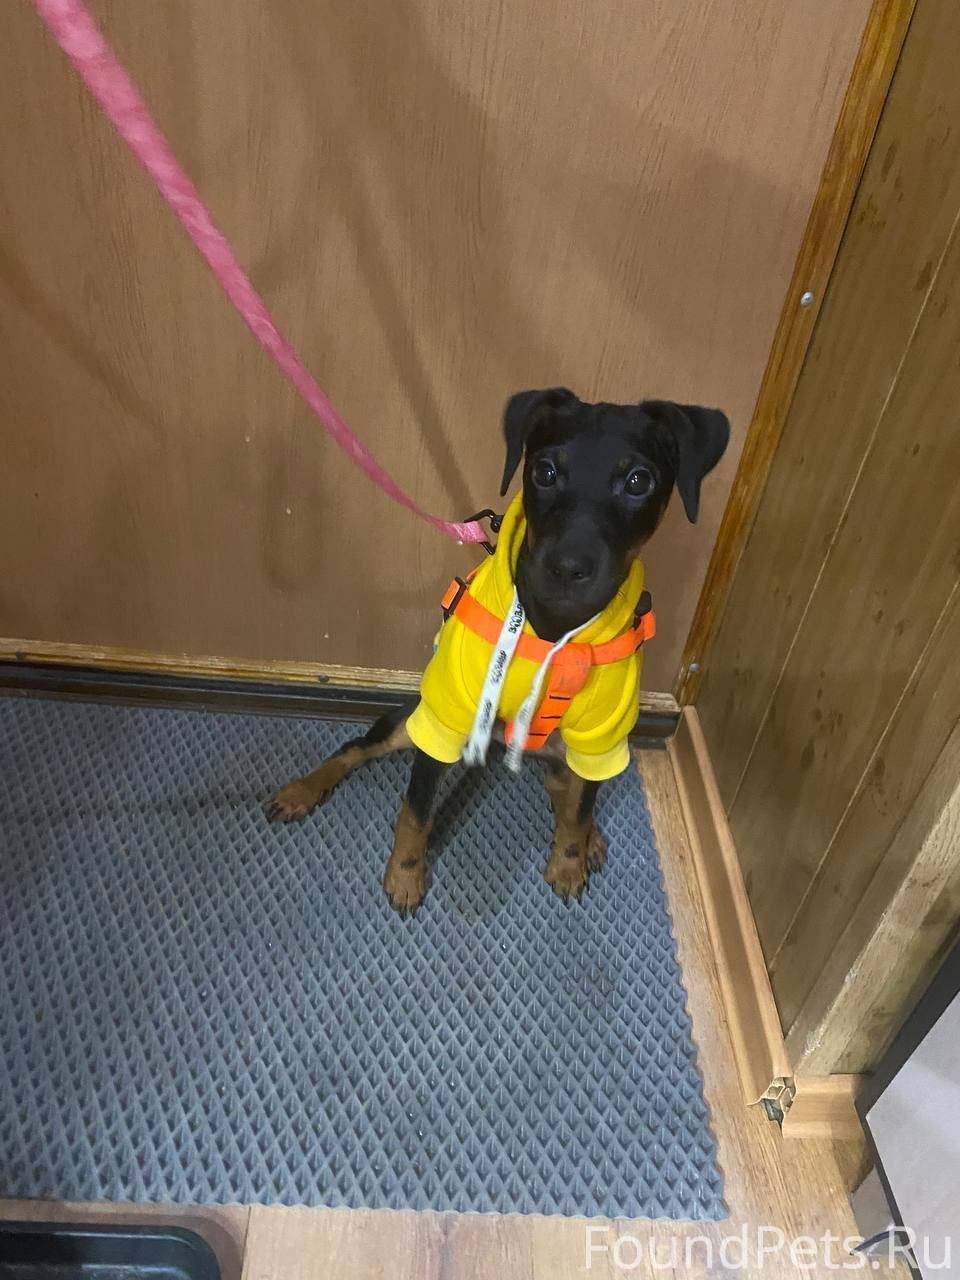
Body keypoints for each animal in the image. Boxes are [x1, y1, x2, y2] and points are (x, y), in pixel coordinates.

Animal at [267, 388, 729, 914]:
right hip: (414, 718)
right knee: (356, 748)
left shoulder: (600, 735)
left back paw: (587, 837)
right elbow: (416, 810)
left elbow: (580, 807)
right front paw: (404, 874)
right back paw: (302, 790)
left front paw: (568, 861)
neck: (552, 628)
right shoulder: (444, 718)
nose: (567, 567)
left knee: (568, 790)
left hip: (563, 747)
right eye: (544, 471)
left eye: (638, 481)